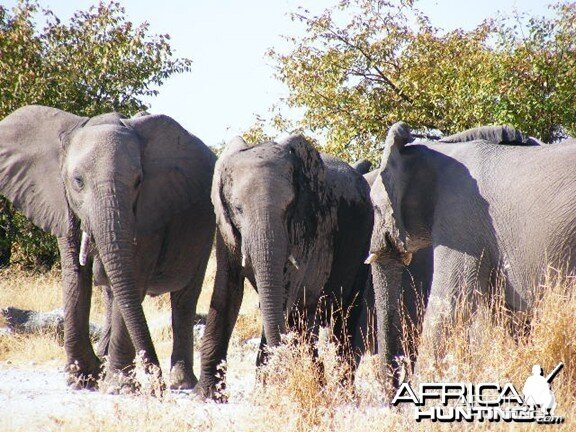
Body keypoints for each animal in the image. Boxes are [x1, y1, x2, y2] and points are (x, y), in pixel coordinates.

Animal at [0, 104, 216, 388]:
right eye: (77, 181)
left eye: (138, 181)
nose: (156, 382)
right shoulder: (63, 205)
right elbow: (75, 277)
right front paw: (81, 378)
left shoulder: (149, 211)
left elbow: (133, 277)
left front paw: (119, 386)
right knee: (113, 292)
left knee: (183, 300)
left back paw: (181, 383)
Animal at [196, 135, 376, 398]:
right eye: (238, 209)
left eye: (290, 207)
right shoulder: (224, 228)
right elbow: (226, 291)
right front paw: (208, 395)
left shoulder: (312, 226)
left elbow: (289, 297)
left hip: (363, 243)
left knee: (343, 319)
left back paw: (342, 393)